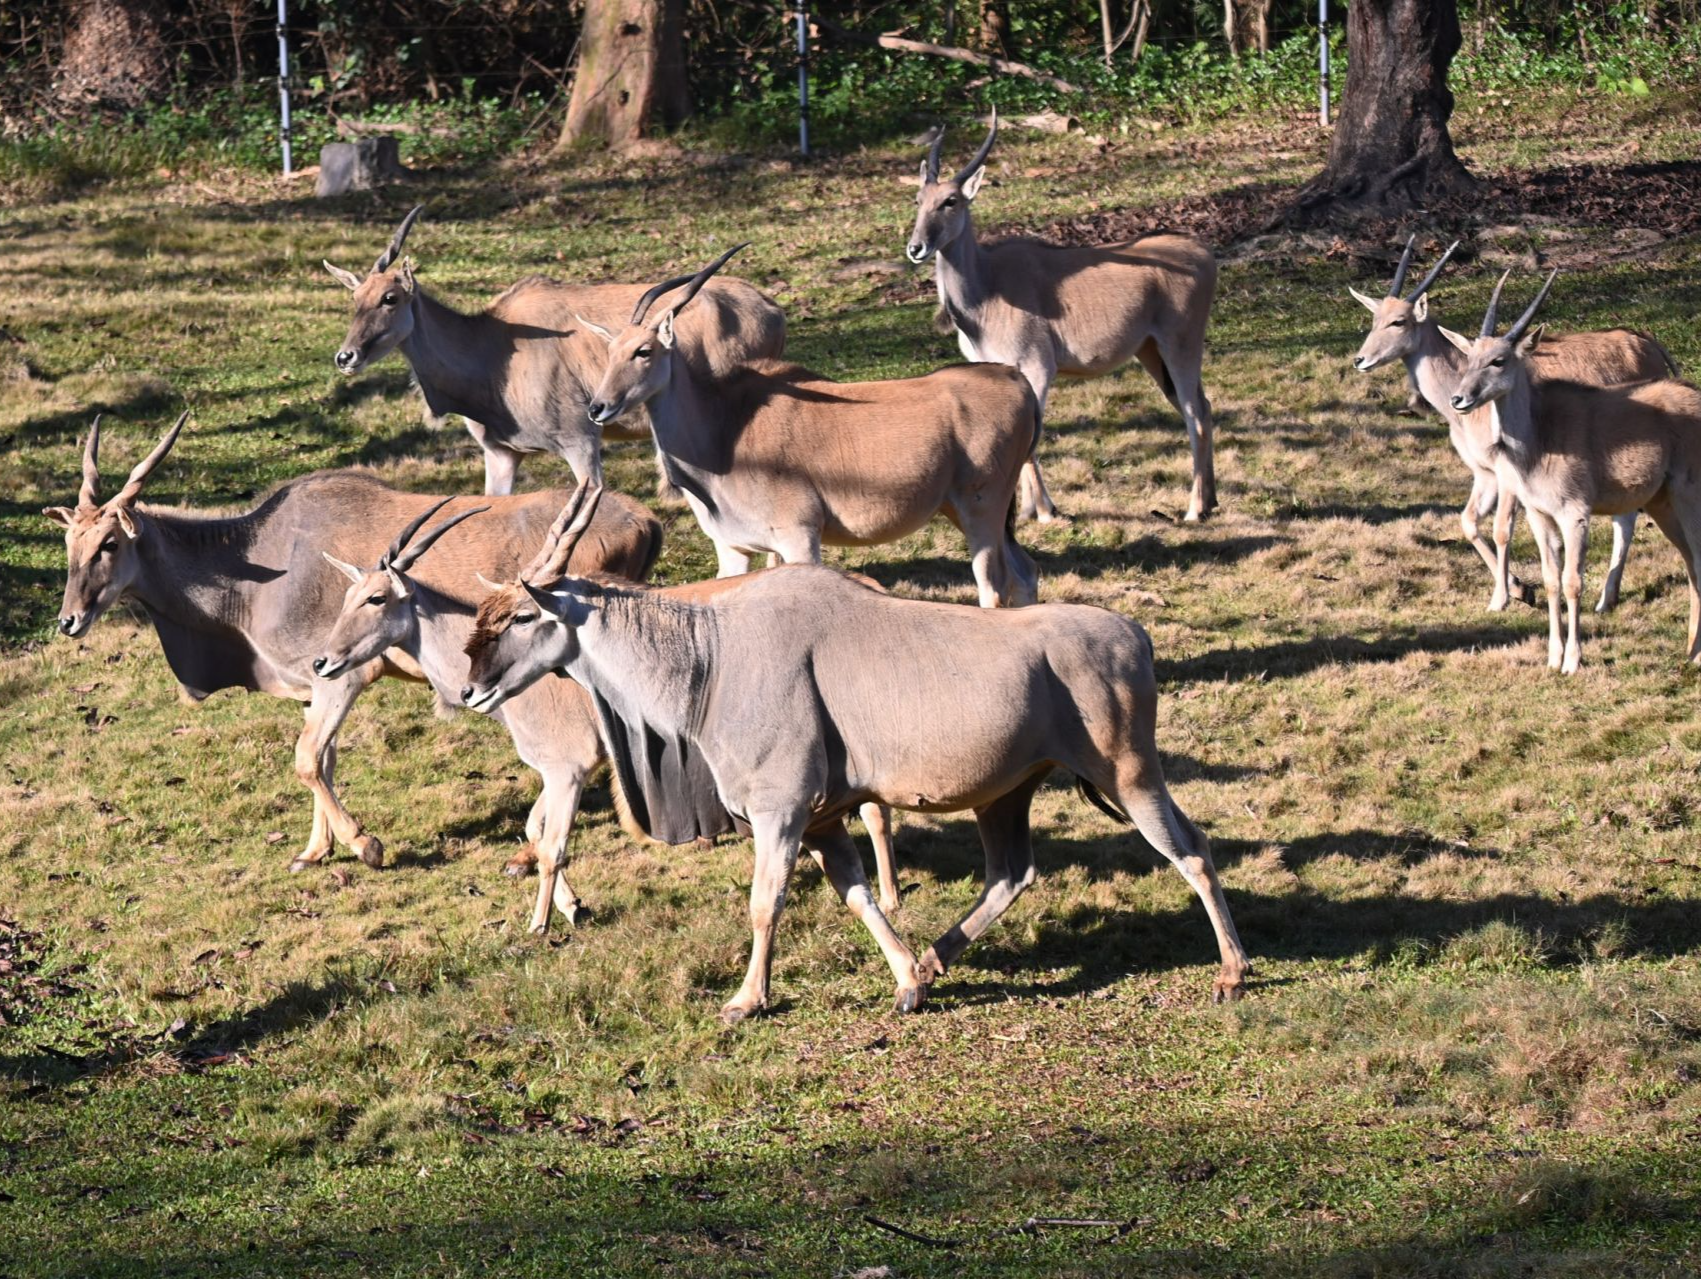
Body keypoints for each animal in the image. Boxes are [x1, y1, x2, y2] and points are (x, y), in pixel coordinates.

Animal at [462, 483, 1251, 1027]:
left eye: (523, 615)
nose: (471, 687)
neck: (710, 657)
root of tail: (1135, 634)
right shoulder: (822, 821)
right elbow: (859, 895)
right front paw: (908, 981)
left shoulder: (781, 812)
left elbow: (765, 903)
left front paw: (747, 1000)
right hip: (1008, 794)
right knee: (1013, 872)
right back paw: (935, 956)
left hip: (1127, 774)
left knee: (1190, 849)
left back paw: (1233, 973)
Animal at [578, 248, 1041, 608]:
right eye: (610, 351)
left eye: (643, 351)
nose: (598, 408)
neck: (725, 431)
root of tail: (1015, 380)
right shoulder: (733, 550)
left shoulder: (800, 539)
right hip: (967, 511)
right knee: (1027, 573)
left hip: (982, 509)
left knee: (993, 587)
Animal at [904, 109, 1224, 523]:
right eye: (918, 199)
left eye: (950, 200)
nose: (916, 248)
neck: (987, 290)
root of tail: (1201, 249)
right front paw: (1027, 511)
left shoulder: (1038, 367)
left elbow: (1030, 438)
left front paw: (1045, 512)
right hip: (1152, 352)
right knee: (1204, 405)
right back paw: (1211, 500)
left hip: (1180, 344)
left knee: (1194, 412)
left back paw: (1194, 510)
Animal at [1442, 273, 1701, 673]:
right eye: (1469, 358)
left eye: (1498, 360)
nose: (1459, 399)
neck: (1540, 434)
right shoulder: (1540, 515)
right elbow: (1551, 580)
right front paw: (1553, 656)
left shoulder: (1575, 515)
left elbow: (1572, 582)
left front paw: (1573, 660)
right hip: (1662, 505)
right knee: (1690, 563)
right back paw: (1690, 651)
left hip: (1688, 497)